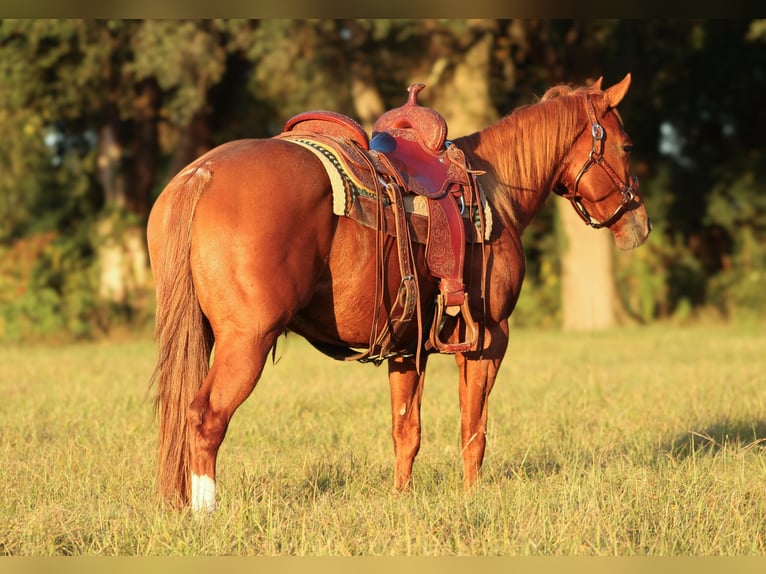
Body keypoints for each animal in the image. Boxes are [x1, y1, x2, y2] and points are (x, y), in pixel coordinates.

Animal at [147, 74, 652, 510]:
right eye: (627, 146)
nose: (639, 223)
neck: (492, 188)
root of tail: (202, 173)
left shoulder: (408, 347)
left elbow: (406, 430)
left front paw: (401, 499)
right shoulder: (489, 338)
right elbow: (474, 429)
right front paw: (471, 498)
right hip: (247, 340)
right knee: (204, 417)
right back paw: (204, 512)